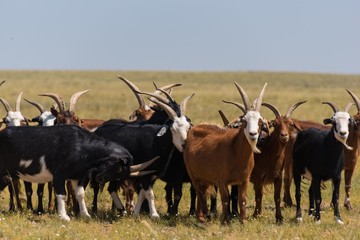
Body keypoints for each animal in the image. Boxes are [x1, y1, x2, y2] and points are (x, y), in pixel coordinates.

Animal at [184, 81, 266, 224]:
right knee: (199, 192)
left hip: (205, 178)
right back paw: (203, 217)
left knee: (202, 192)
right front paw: (225, 221)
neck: (235, 151)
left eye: (260, 121)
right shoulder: (221, 181)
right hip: (193, 175)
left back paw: (201, 216)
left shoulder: (244, 180)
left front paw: (243, 221)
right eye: (244, 120)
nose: (253, 134)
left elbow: (242, 200)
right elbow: (225, 199)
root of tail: (194, 129)